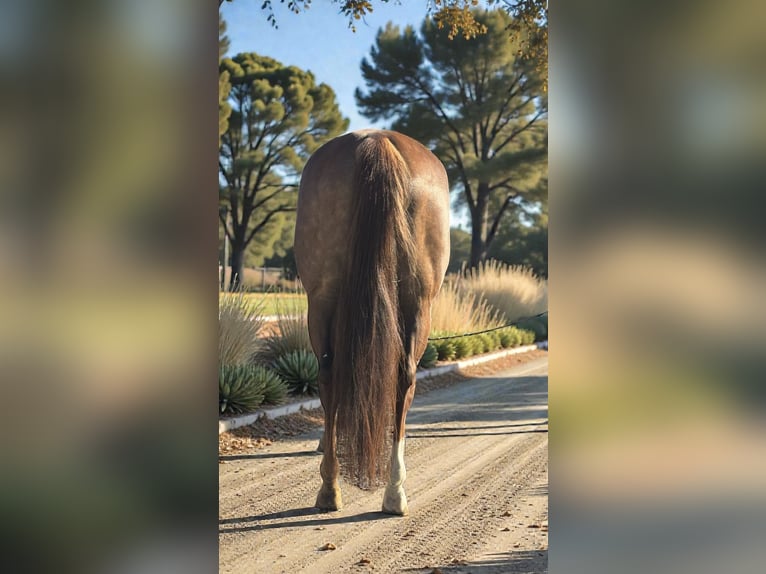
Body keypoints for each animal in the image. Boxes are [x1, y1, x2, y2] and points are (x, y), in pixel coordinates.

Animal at [294, 129, 450, 515]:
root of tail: (378, 139)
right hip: (418, 304)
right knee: (403, 377)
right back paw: (393, 492)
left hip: (322, 300)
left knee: (330, 374)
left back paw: (333, 487)